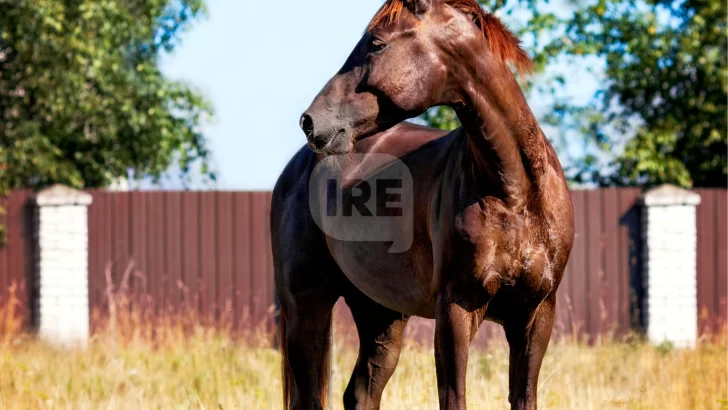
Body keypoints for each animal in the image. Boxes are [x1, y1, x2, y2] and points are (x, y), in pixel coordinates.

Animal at [272, 0, 576, 410]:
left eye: (377, 43)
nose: (310, 122)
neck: (517, 195)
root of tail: (300, 165)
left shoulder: (536, 314)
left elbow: (523, 396)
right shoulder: (455, 311)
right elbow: (454, 397)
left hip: (380, 315)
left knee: (361, 392)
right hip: (305, 310)